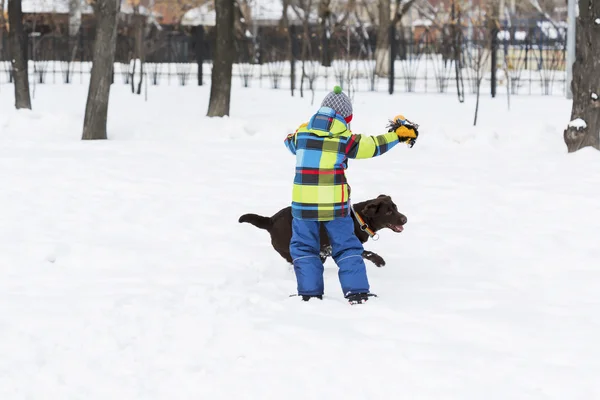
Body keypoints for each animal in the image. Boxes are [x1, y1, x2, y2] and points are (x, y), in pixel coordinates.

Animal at [237, 195, 406, 268]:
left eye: (395, 208)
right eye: (388, 212)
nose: (405, 219)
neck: (359, 220)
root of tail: (270, 220)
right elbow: (367, 253)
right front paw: (379, 261)